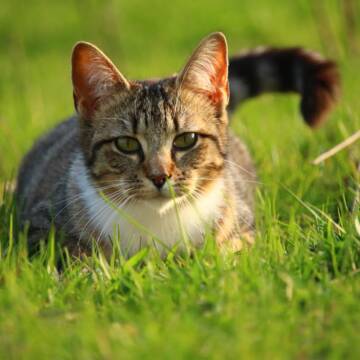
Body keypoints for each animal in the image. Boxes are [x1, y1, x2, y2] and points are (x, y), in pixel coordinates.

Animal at [15, 32, 338, 258]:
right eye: (126, 144)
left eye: (186, 139)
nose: (160, 176)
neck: (159, 221)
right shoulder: (39, 226)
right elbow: (78, 256)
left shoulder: (244, 226)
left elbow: (228, 251)